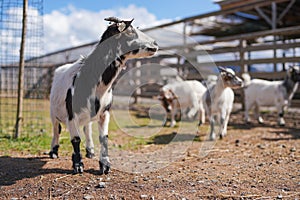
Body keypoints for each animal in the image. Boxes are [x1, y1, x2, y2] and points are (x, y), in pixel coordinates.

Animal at [48, 16, 159, 173]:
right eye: (130, 32)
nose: (155, 44)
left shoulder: (105, 112)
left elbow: (104, 138)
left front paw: (105, 164)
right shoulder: (71, 115)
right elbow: (75, 139)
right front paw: (78, 165)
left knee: (87, 128)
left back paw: (90, 151)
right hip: (53, 112)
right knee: (56, 130)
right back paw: (53, 151)